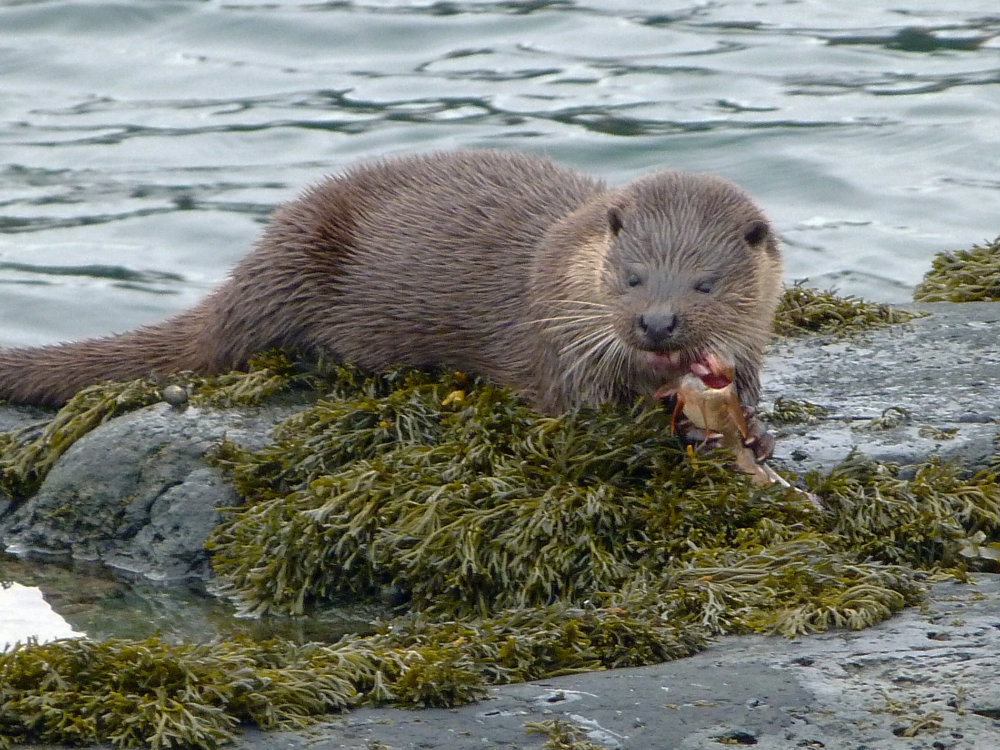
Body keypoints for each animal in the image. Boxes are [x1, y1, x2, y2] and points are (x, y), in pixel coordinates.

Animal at [0, 150, 780, 450]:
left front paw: (755, 431)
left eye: (705, 283)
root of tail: (254, 262)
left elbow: (745, 382)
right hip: (291, 272)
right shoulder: (558, 344)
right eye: (633, 276)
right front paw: (687, 429)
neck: (566, 268)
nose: (657, 322)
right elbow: (584, 407)